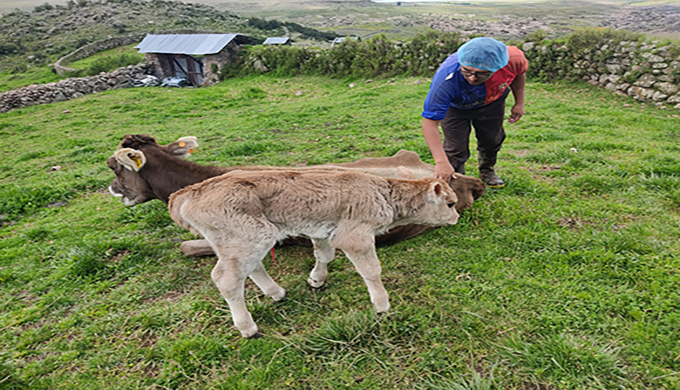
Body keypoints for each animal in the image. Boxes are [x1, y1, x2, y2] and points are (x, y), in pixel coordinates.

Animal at [167, 171, 460, 338]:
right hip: (249, 237)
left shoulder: (323, 231)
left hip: (240, 242)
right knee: (226, 279)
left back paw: (276, 293)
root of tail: (188, 192)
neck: (383, 194)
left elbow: (324, 255)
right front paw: (382, 305)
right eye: (450, 203)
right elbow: (372, 271)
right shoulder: (355, 236)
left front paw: (316, 280)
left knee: (251, 268)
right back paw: (247, 328)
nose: (456, 217)